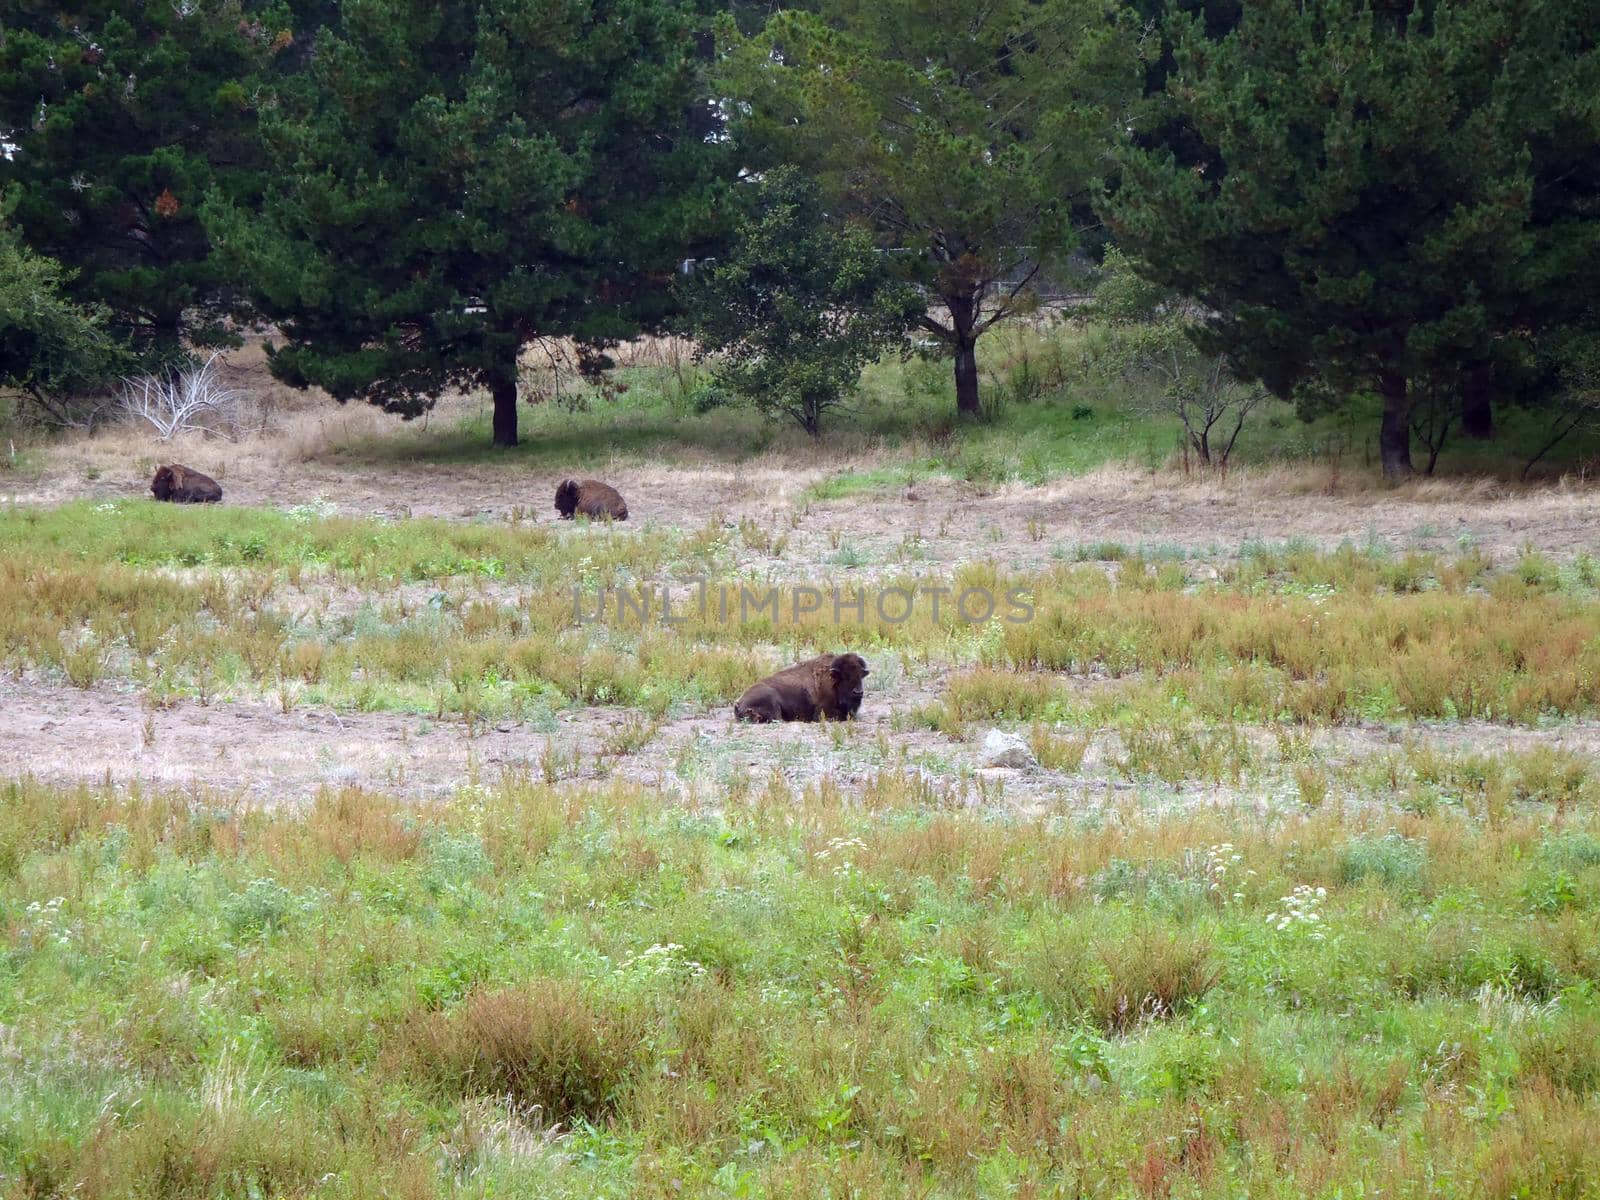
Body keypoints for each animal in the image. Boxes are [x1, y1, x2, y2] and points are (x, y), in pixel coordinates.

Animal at [732, 652, 870, 729]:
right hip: (771, 700)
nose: (858, 692)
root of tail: (738, 703)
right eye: (845, 677)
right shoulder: (824, 712)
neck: (832, 679)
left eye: (860, 675)